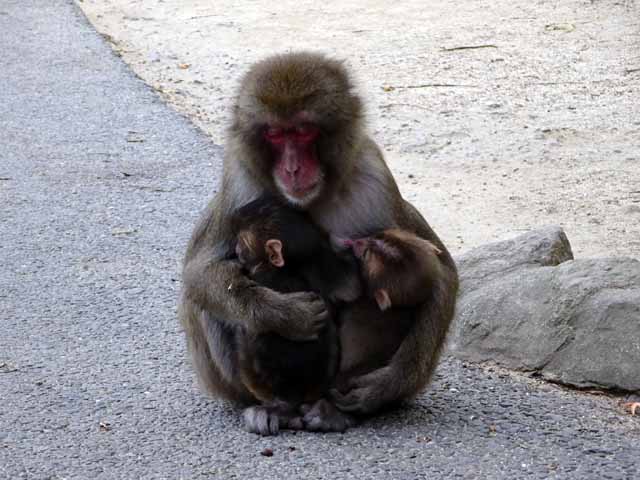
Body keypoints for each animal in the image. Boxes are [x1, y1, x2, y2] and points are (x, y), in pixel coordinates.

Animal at [230, 193, 362, 434]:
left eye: (243, 242)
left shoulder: (261, 273)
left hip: (259, 381)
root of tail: (293, 396)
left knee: (244, 332)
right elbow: (351, 286)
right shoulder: (322, 266)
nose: (235, 248)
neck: (289, 268)